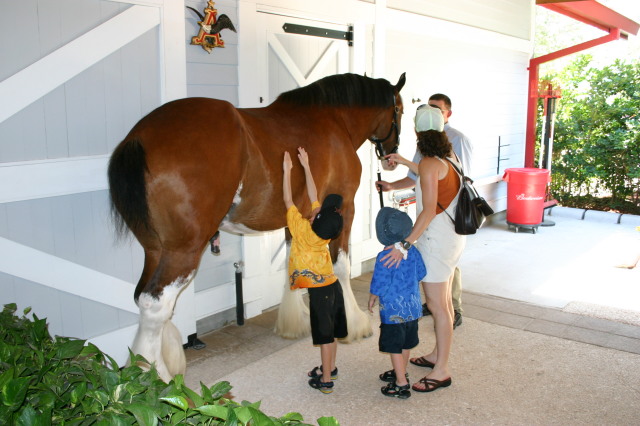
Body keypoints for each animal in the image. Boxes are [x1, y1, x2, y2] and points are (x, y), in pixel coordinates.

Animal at [108, 72, 406, 382]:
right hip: (183, 250)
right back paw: (157, 378)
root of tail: (139, 138)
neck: (333, 120)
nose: (391, 156)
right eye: (399, 109)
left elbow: (292, 264)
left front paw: (295, 322)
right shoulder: (344, 208)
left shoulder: (297, 217)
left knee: (143, 298)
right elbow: (342, 267)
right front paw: (355, 325)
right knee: (155, 304)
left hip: (154, 248)